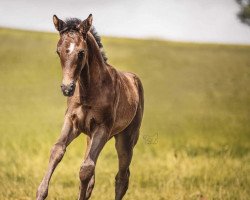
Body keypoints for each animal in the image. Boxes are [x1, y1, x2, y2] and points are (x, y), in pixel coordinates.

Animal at [36, 14, 144, 200]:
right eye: (58, 51)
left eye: (81, 53)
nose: (67, 88)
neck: (89, 90)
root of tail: (134, 79)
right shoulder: (72, 122)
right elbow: (57, 151)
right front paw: (40, 193)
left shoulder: (102, 128)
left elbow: (85, 169)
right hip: (90, 138)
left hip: (126, 139)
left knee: (122, 177)